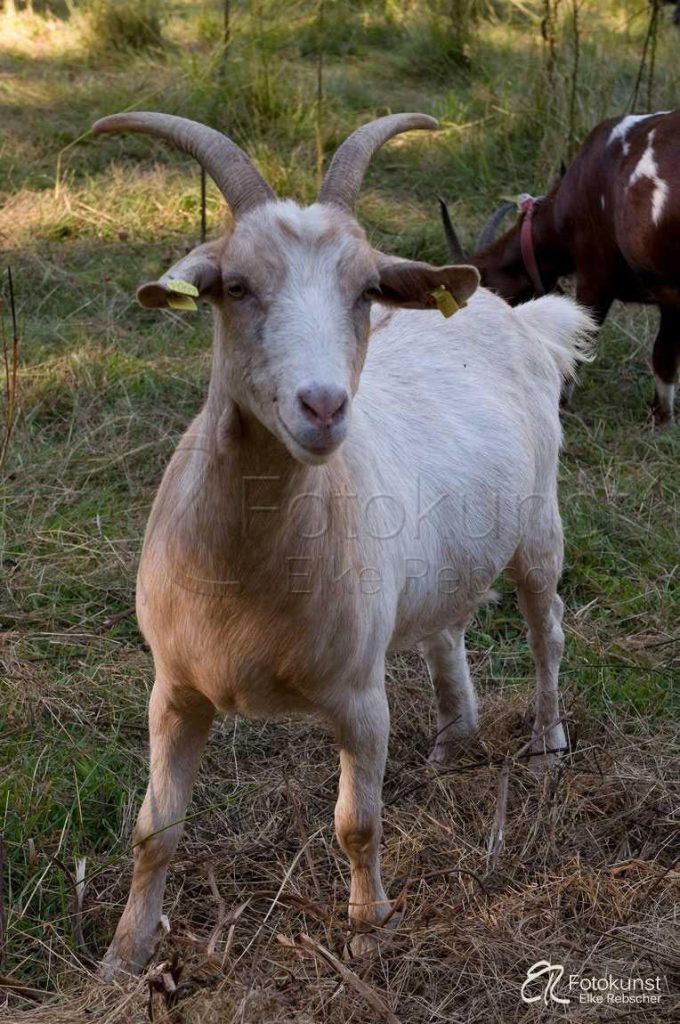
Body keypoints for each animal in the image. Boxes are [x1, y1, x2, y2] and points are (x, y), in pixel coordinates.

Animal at [93, 110, 593, 974]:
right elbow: (155, 831)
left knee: (547, 632)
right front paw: (127, 955)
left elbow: (358, 823)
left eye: (364, 291)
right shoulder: (175, 688)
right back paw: (452, 740)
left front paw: (368, 930)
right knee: (445, 628)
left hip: (539, 526)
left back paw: (547, 744)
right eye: (234, 286)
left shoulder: (360, 696)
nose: (324, 407)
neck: (244, 576)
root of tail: (511, 310)